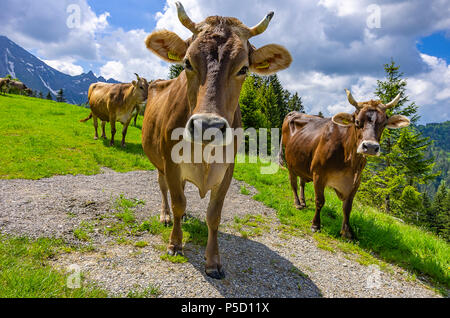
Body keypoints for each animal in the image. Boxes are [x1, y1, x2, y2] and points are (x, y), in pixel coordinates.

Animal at [282, 89, 412, 238]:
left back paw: (303, 202)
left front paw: (347, 232)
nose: (371, 147)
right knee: (293, 183)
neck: (349, 161)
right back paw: (298, 203)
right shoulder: (318, 174)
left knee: (302, 182)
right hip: (290, 163)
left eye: (384, 124)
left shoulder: (356, 182)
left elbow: (347, 207)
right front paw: (315, 225)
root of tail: (294, 113)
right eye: (357, 121)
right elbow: (320, 201)